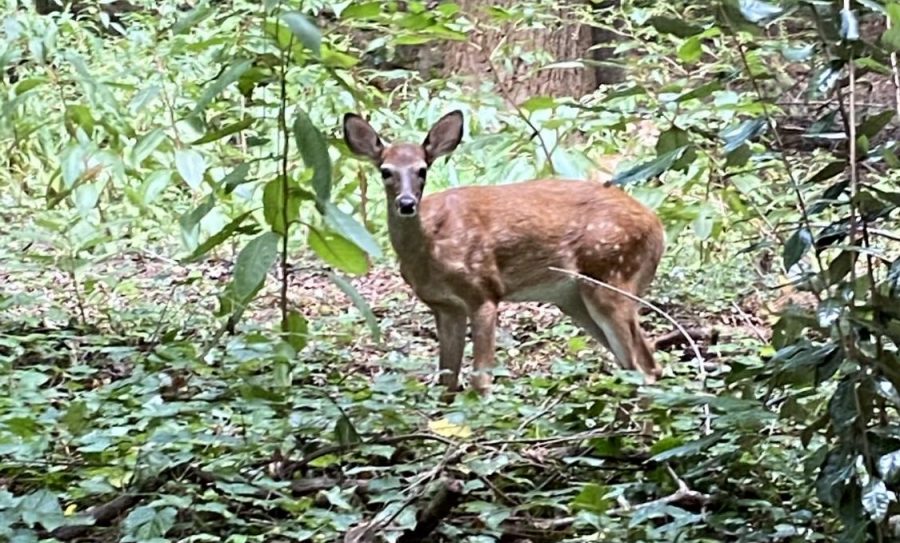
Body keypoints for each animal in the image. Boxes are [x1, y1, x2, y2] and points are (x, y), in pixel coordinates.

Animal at [342, 110, 664, 398]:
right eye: (386, 171)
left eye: (422, 170)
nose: (407, 203)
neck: (430, 250)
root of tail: (657, 227)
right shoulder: (444, 306)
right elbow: (447, 382)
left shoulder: (483, 292)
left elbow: (481, 380)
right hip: (574, 298)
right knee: (634, 365)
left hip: (612, 275)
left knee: (643, 368)